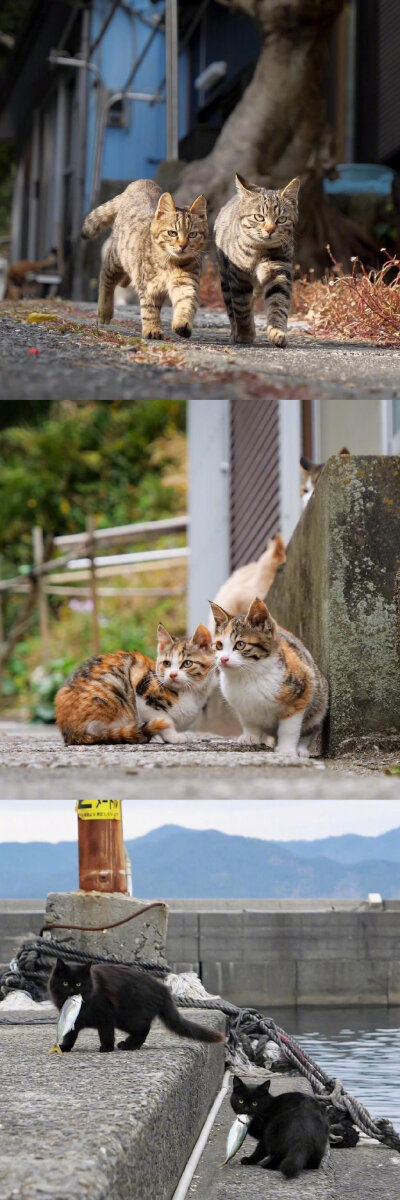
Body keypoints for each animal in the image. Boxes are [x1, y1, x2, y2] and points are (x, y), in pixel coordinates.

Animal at [48, 960, 224, 1056]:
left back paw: (129, 1045)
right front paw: (64, 1047)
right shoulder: (72, 1020)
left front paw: (107, 1048)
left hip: (127, 1017)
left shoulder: (106, 1015)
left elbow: (106, 1034)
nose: (72, 991)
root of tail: (162, 988)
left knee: (144, 1029)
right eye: (65, 983)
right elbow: (69, 1035)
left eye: (79, 984)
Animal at [55, 624, 215, 744]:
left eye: (187, 663)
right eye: (167, 663)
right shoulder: (141, 695)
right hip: (114, 685)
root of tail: (70, 732)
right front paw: (173, 736)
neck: (189, 692)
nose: (172, 674)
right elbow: (164, 719)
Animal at [79, 182, 206, 343]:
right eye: (172, 233)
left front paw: (182, 324)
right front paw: (152, 329)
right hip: (116, 258)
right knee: (106, 278)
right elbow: (149, 311)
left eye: (192, 234)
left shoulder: (185, 283)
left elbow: (186, 304)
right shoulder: (148, 287)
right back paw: (104, 311)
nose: (183, 245)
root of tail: (141, 181)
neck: (170, 263)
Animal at [209, 595, 326, 753]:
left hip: (319, 700)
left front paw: (286, 749)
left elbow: (290, 728)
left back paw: (301, 750)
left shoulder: (301, 691)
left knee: (309, 729)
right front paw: (250, 737)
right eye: (219, 645)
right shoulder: (241, 704)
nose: (223, 659)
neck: (249, 675)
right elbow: (249, 721)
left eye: (240, 644)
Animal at [213, 172, 297, 348]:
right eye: (259, 217)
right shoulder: (238, 277)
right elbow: (241, 308)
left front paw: (277, 332)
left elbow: (278, 304)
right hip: (224, 278)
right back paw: (235, 332)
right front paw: (245, 334)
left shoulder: (278, 271)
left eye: (281, 219)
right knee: (231, 309)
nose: (270, 230)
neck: (259, 251)